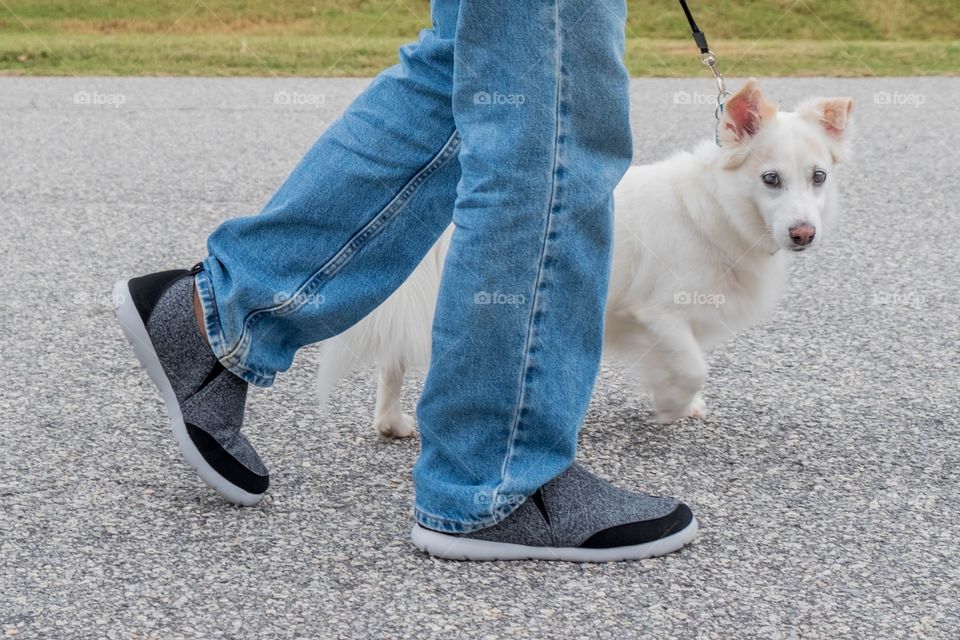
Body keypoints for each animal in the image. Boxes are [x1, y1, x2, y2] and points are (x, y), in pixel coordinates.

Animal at [316, 80, 856, 438]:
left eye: (819, 177)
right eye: (770, 179)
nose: (804, 234)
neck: (714, 208)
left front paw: (682, 403)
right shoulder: (657, 312)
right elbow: (692, 365)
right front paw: (671, 405)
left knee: (393, 361)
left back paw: (392, 423)